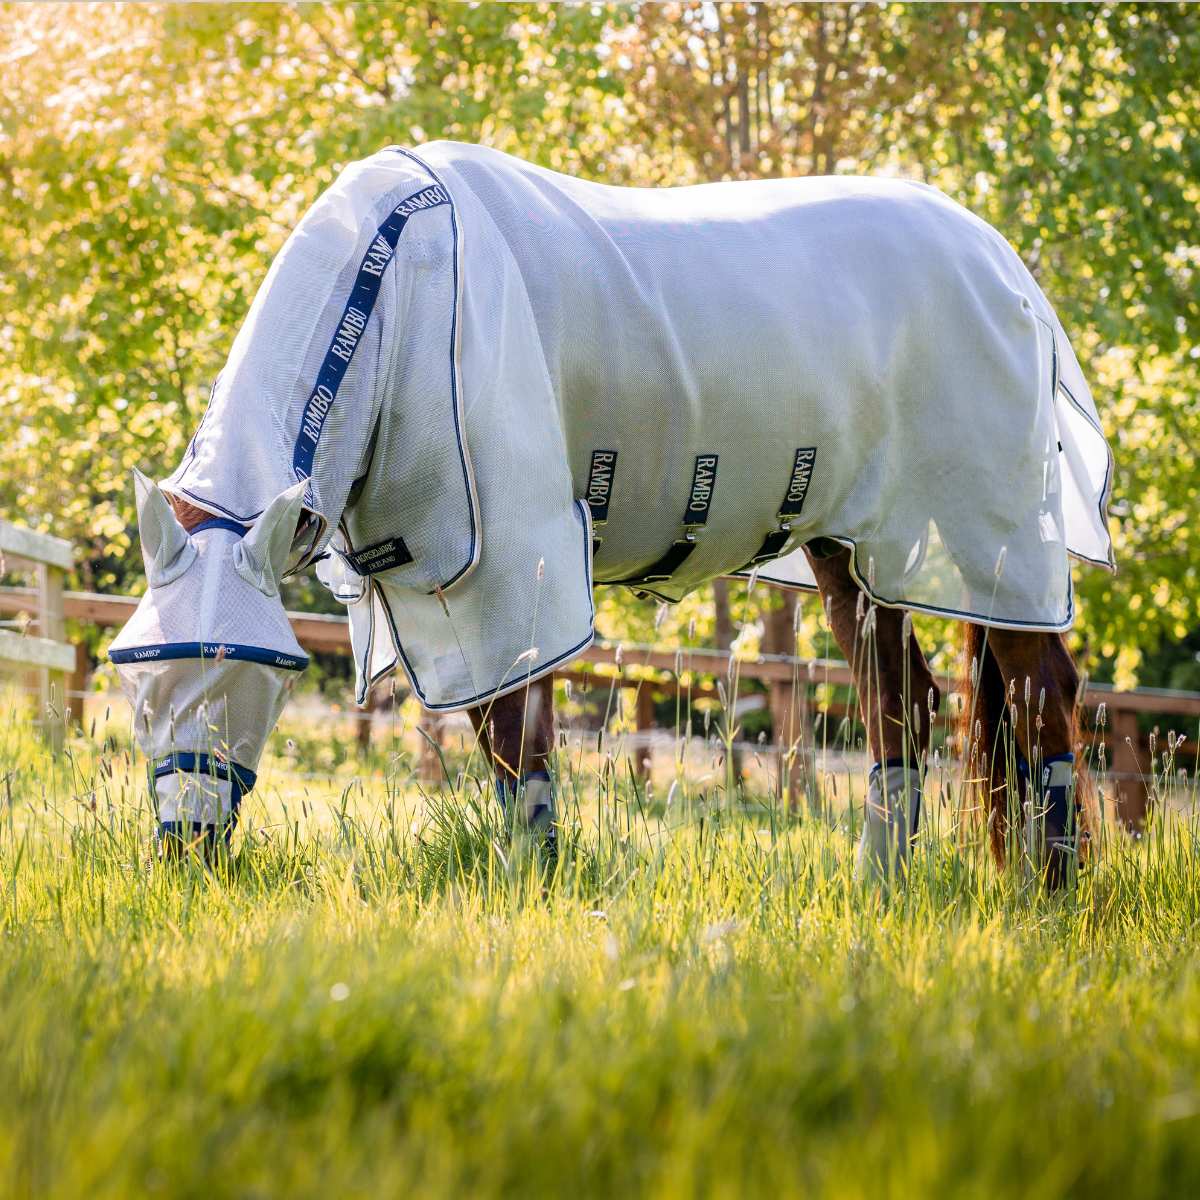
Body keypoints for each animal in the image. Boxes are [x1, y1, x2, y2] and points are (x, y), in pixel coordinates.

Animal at [108, 145, 1108, 888]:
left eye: (256, 673)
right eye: (138, 677)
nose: (183, 854)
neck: (399, 289)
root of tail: (1003, 264)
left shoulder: (508, 564)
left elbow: (519, 743)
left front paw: (538, 891)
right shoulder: (446, 581)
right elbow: (505, 742)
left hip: (992, 540)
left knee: (1043, 696)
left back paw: (1049, 894)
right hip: (853, 549)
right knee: (902, 704)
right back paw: (880, 888)